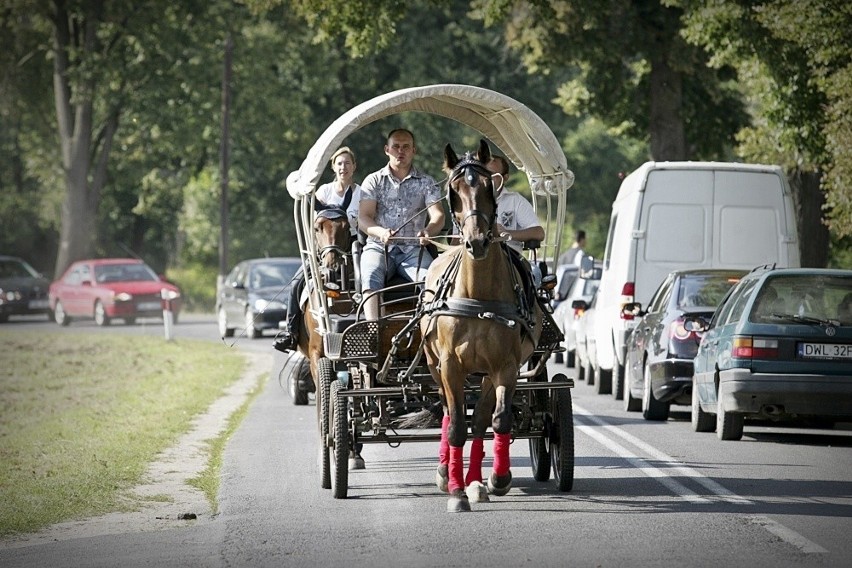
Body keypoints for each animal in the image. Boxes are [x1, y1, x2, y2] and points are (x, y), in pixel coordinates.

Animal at [420, 140, 544, 512]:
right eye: (455, 190)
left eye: (490, 187)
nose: (476, 241)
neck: (478, 297)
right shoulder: (449, 366)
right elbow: (456, 426)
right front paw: (456, 491)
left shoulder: (506, 366)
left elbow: (496, 420)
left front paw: (495, 479)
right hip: (434, 366)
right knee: (450, 414)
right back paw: (447, 474)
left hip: (487, 373)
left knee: (479, 421)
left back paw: (475, 481)